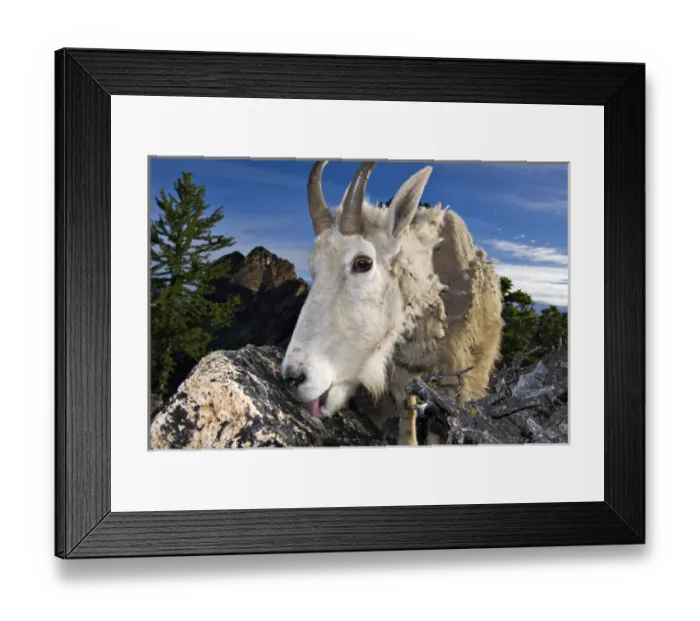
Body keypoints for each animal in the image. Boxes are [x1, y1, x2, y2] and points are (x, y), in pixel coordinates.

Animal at [281, 161, 504, 445]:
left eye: (362, 263)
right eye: (313, 267)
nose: (294, 378)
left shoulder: (459, 381)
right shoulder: (401, 375)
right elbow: (407, 417)